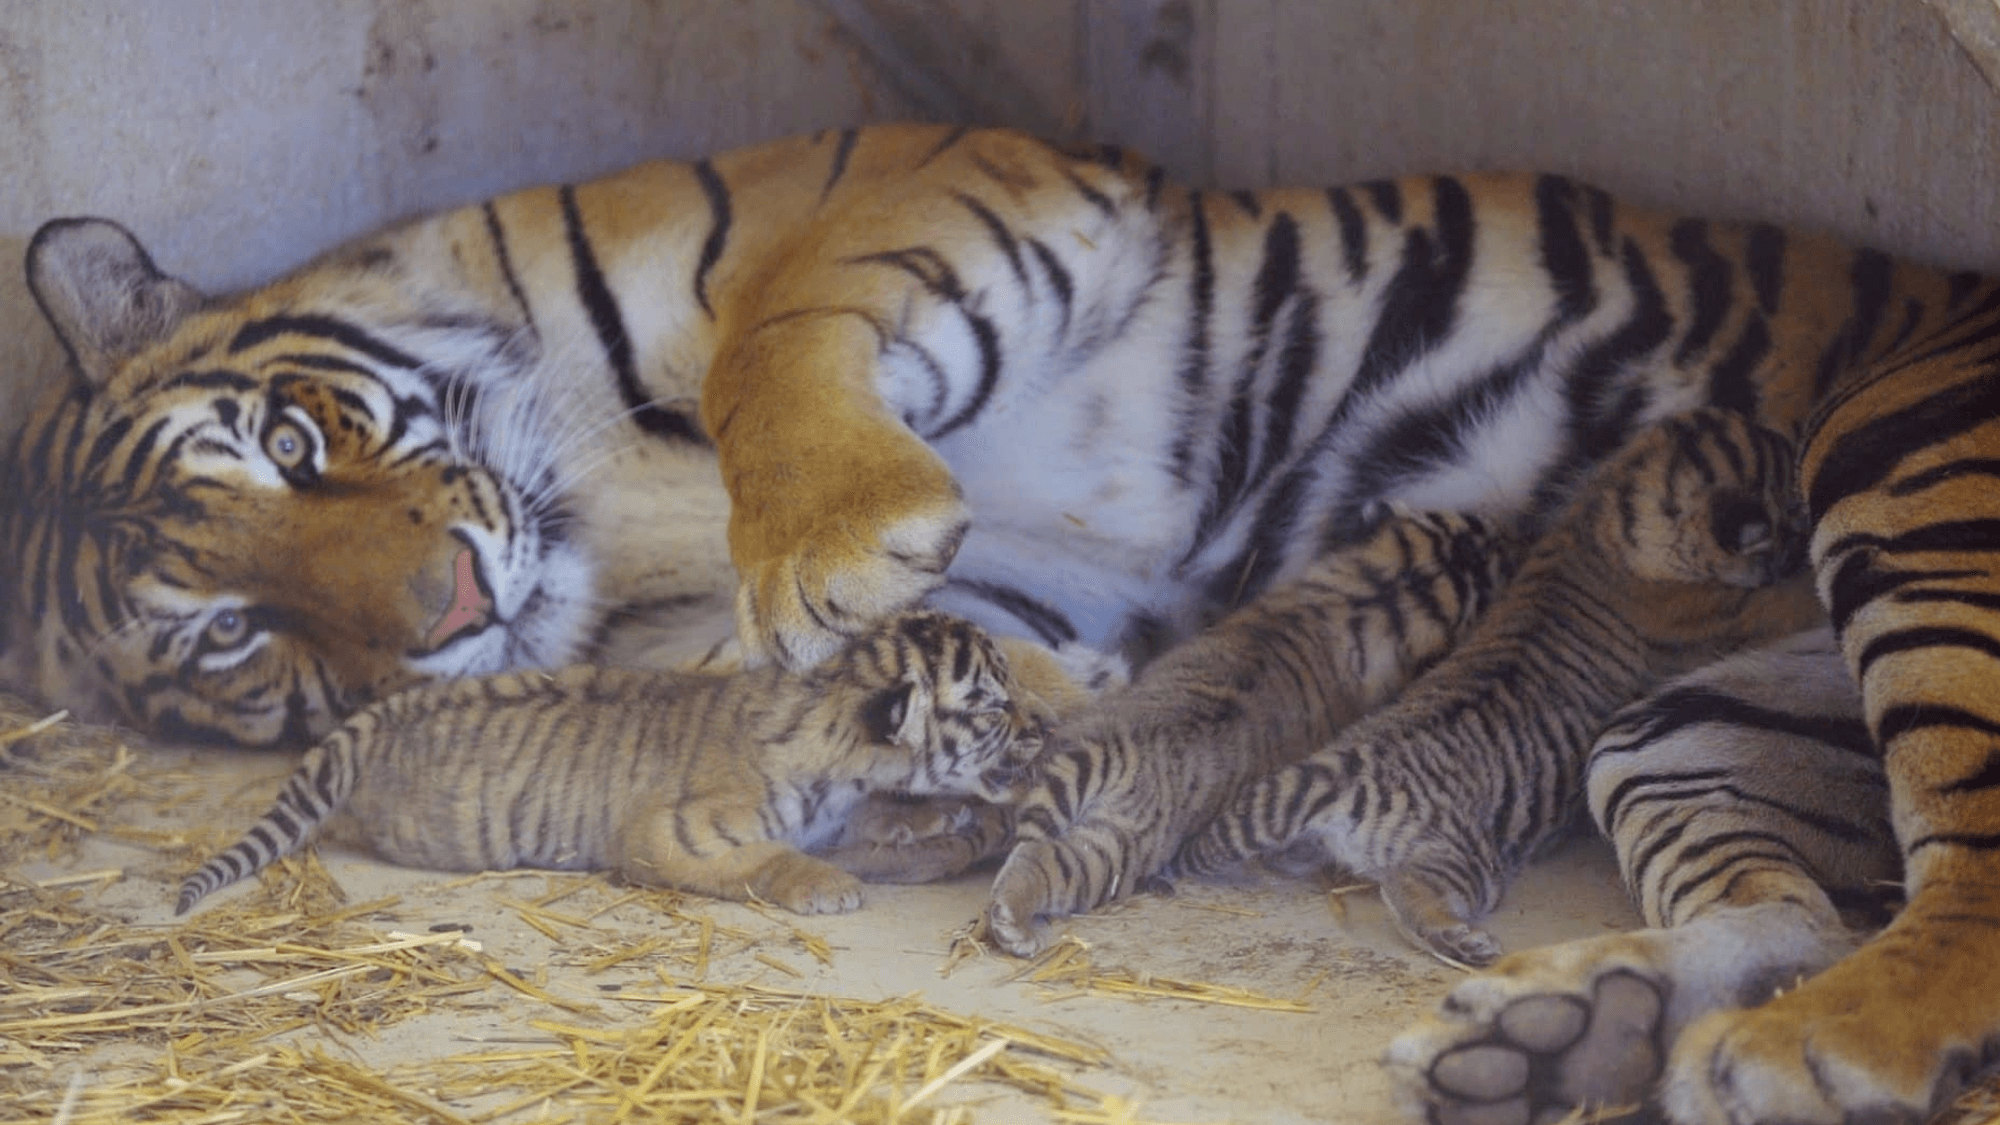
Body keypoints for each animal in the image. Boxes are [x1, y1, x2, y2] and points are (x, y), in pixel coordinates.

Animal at [176, 611, 1072, 916]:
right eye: (993, 705)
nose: (1049, 725)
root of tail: (377, 713)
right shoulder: (675, 831)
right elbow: (763, 857)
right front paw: (826, 885)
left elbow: (877, 816)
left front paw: (928, 812)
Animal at [979, 504, 1521, 957]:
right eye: (1491, 548)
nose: (1514, 528)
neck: (1384, 592)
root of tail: (1109, 746)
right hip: (1118, 852)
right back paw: (1015, 926)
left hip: (1089, 824)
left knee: (1038, 856)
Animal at [1173, 408, 1826, 964]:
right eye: (1789, 514)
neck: (1617, 507)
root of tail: (1343, 770)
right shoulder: (1722, 612)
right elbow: (1784, 601)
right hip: (1463, 859)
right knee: (1405, 893)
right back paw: (1463, 944)